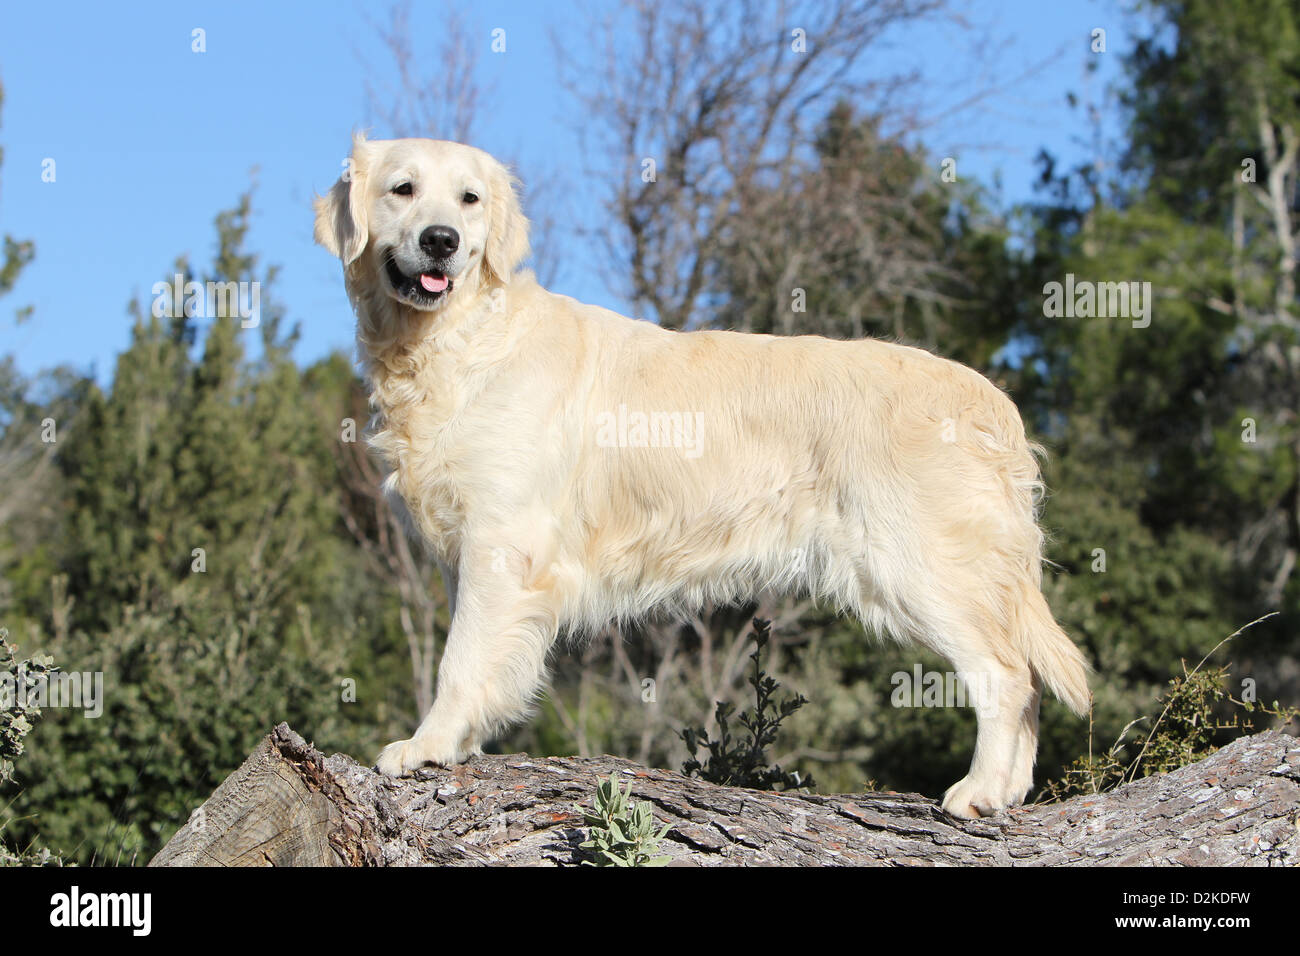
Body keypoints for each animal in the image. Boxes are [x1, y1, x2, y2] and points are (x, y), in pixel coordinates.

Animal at [312, 134, 1086, 816]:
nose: (441, 239)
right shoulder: (467, 555)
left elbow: (461, 661)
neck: (458, 342)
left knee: (1008, 674)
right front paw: (457, 744)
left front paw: (426, 745)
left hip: (915, 564)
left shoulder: (502, 547)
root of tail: (992, 403)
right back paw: (1011, 792)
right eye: (402, 189)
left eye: (469, 199)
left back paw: (980, 791)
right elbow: (477, 658)